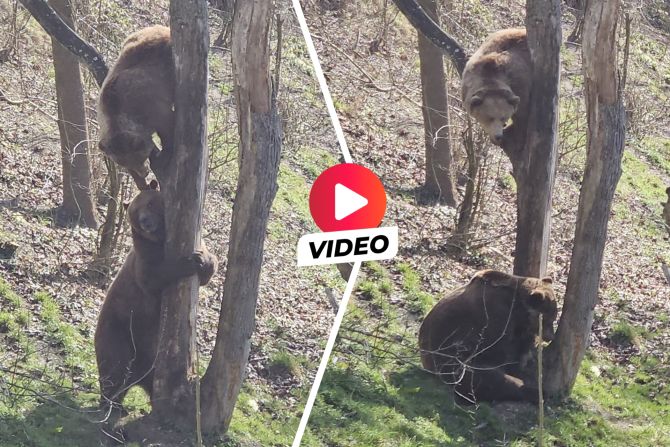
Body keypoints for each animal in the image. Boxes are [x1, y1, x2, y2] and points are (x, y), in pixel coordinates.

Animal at [94, 182, 217, 420]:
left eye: (150, 203)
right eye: (135, 212)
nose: (146, 222)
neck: (161, 240)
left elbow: (210, 264)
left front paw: (201, 259)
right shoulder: (144, 259)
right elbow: (153, 277)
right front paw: (187, 263)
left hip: (151, 358)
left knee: (150, 381)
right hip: (119, 331)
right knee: (114, 366)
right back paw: (110, 404)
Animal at [97, 25, 175, 189]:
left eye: (140, 158)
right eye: (125, 163)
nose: (144, 173)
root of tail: (160, 27)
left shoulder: (150, 105)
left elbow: (168, 126)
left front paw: (163, 156)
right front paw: (143, 184)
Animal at [418, 269, 557, 403]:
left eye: (553, 317)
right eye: (550, 319)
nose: (551, 336)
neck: (516, 309)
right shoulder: (494, 319)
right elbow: (501, 353)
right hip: (454, 362)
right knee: (487, 380)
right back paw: (538, 393)